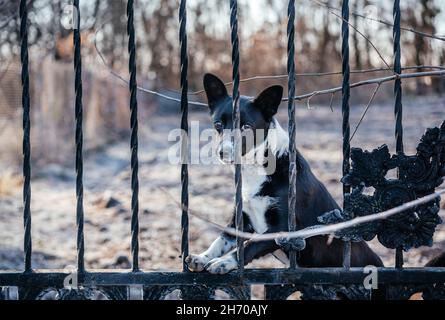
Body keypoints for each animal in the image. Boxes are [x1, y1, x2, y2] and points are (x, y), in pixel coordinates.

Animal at [186, 74, 384, 274]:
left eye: (246, 127)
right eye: (218, 124)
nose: (223, 153)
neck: (256, 169)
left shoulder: (282, 227)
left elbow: (249, 245)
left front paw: (224, 261)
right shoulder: (240, 220)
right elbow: (221, 239)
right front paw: (203, 257)